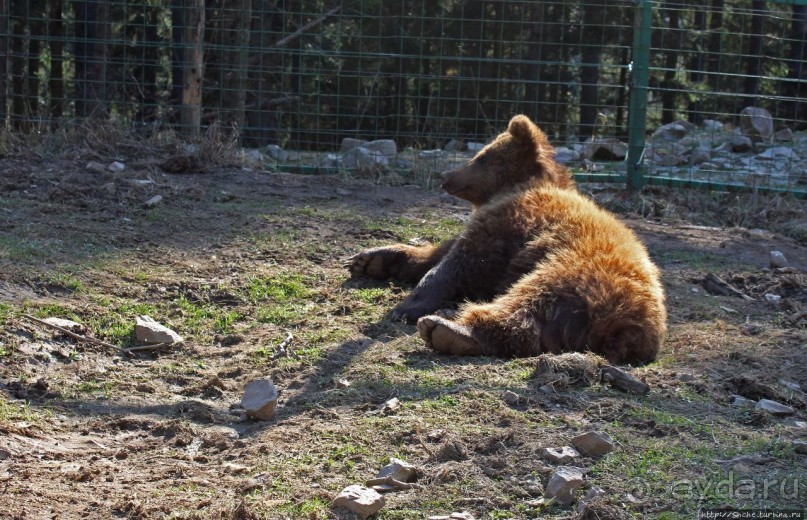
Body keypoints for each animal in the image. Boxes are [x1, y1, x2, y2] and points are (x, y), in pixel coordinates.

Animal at [344, 115, 664, 364]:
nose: (447, 176)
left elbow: (461, 262)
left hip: (576, 273)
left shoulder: (510, 223)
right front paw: (371, 258)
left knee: (531, 302)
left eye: (482, 156)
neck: (512, 188)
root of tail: (632, 328)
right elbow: (438, 253)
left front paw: (407, 306)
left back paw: (450, 330)